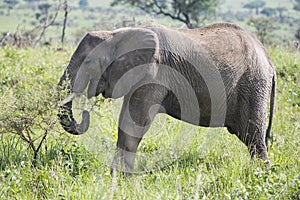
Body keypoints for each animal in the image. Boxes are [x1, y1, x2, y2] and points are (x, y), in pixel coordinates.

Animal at [58, 22, 276, 174]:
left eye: (88, 63)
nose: (85, 114)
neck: (118, 33)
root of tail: (269, 61)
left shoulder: (155, 73)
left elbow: (135, 122)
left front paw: (119, 176)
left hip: (253, 84)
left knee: (253, 136)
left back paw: (261, 176)